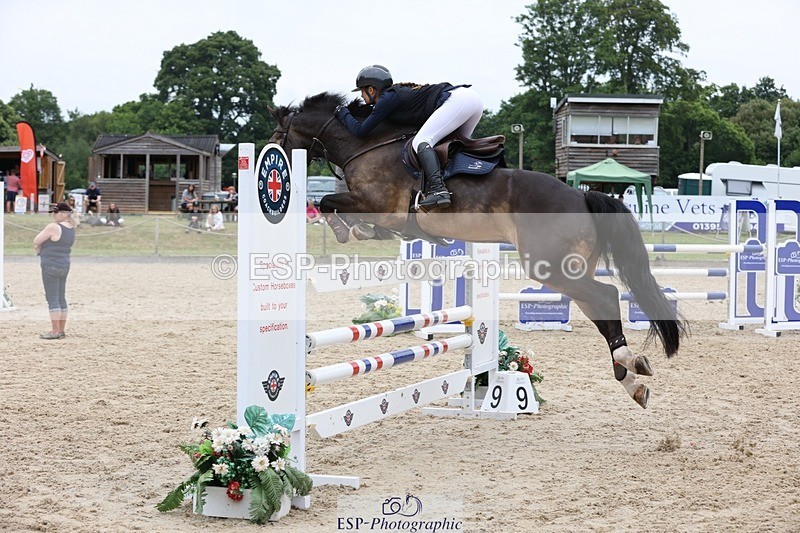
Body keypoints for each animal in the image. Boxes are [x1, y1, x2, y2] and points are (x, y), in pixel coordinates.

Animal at [268, 92, 685, 408]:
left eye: (279, 134)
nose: (274, 163)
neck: (364, 145)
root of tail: (582, 197)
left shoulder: (376, 203)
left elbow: (327, 202)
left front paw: (347, 230)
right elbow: (337, 207)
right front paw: (356, 231)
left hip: (551, 267)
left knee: (607, 295)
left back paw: (629, 366)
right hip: (568, 268)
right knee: (601, 306)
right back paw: (631, 378)